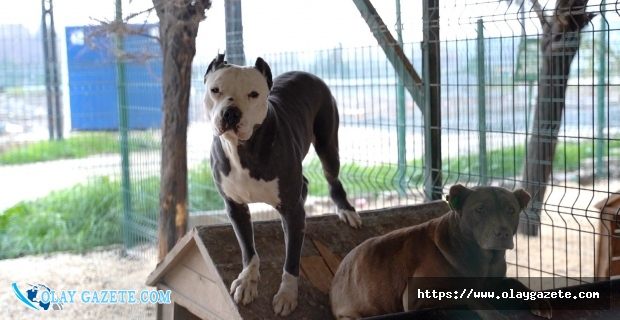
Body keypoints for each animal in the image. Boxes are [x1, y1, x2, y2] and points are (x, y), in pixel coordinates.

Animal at [205, 53, 358, 316]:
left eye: (253, 94)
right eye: (215, 90)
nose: (231, 113)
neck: (243, 149)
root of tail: (305, 72)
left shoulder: (292, 210)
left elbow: (292, 261)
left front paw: (287, 293)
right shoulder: (235, 207)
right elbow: (248, 249)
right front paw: (247, 281)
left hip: (328, 145)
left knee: (332, 178)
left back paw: (346, 209)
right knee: (304, 185)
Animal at [330, 185, 552, 320]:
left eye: (511, 210)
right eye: (480, 210)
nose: (502, 232)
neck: (485, 258)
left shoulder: (494, 282)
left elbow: (515, 282)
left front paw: (539, 301)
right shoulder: (416, 297)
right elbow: (464, 292)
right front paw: (494, 314)